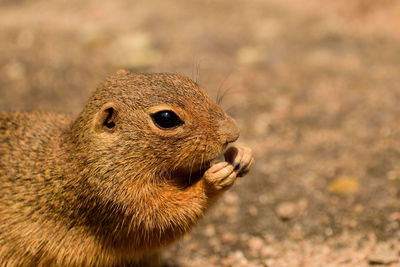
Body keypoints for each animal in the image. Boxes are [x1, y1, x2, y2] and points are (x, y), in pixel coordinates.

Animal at [0, 70, 255, 266]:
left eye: (192, 84)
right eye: (166, 118)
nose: (233, 131)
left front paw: (242, 155)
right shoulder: (120, 203)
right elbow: (167, 219)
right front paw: (212, 181)